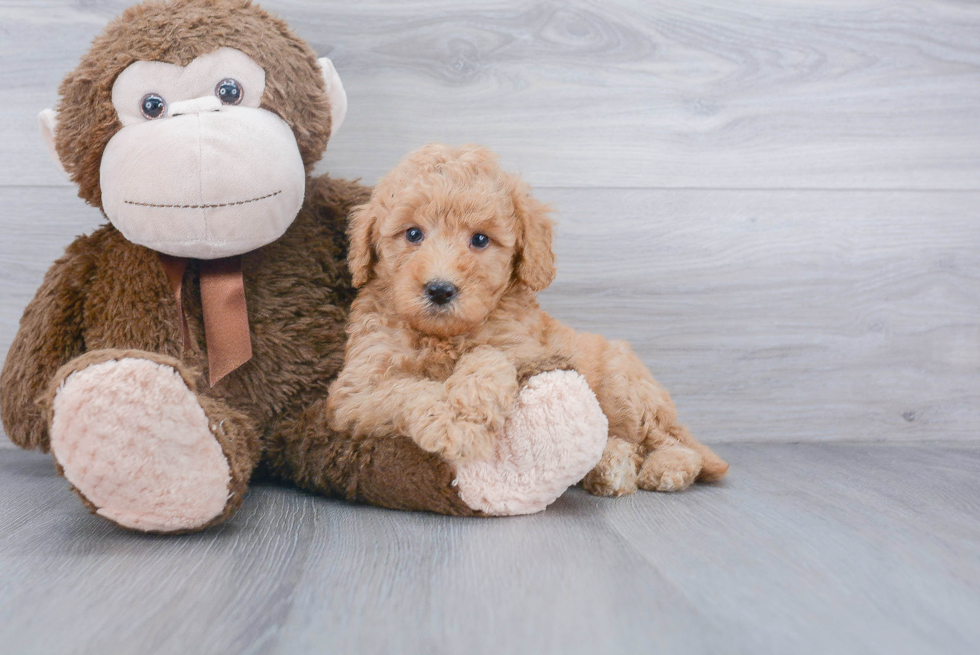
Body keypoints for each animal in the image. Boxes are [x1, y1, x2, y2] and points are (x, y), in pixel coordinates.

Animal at [330, 142, 728, 492]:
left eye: (480, 240)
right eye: (413, 233)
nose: (440, 289)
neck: (442, 336)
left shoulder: (529, 353)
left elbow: (488, 355)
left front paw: (466, 413)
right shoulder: (356, 390)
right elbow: (408, 389)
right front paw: (452, 423)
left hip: (624, 388)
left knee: (669, 442)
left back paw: (663, 469)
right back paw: (608, 467)